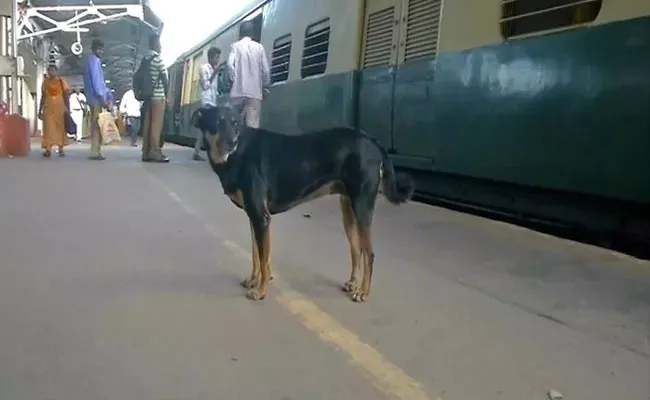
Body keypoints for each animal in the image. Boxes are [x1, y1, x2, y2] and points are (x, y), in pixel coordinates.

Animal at [192, 103, 412, 304]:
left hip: (362, 207)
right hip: (348, 209)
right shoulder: (254, 216)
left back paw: (364, 292)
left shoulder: (261, 217)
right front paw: (254, 280)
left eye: (235, 123)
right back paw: (353, 283)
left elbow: (263, 259)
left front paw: (261, 291)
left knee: (369, 253)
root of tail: (372, 141)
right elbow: (257, 254)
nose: (232, 142)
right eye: (217, 122)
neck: (238, 154)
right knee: (356, 249)